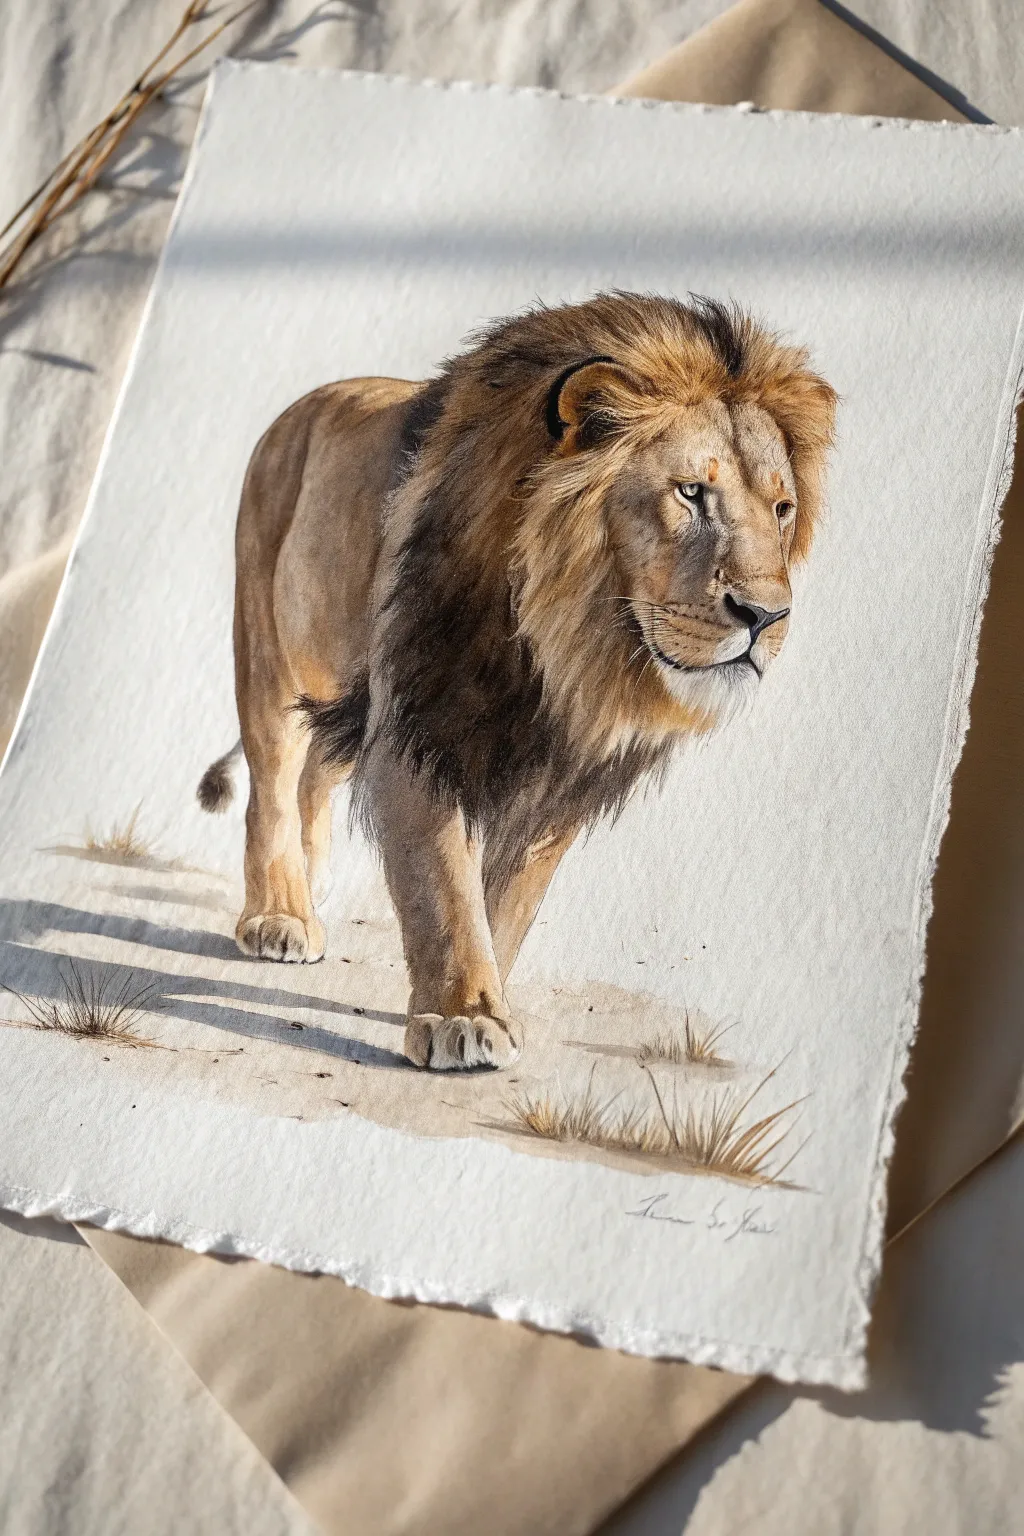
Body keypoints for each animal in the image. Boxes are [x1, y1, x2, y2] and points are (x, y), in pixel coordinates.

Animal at [197, 292, 837, 1071]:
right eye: (691, 493)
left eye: (781, 509)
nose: (766, 615)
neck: (569, 654)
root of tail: (303, 405)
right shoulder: (422, 727)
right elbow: (446, 886)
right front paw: (464, 1017)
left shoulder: (553, 778)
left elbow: (508, 903)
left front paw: (490, 998)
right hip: (268, 650)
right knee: (272, 787)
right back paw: (278, 916)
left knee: (316, 776)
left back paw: (310, 890)